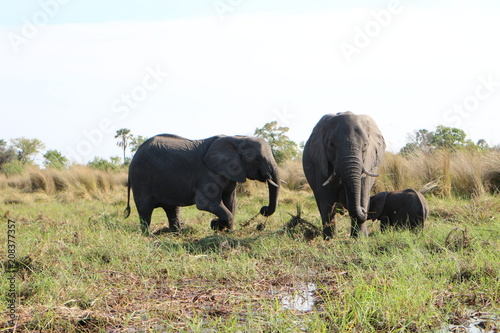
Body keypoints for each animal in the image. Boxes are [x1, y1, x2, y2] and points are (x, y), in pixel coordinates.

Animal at [124, 133, 282, 233]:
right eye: (257, 159)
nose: (263, 210)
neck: (236, 138)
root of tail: (133, 157)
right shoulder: (209, 173)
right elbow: (205, 202)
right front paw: (220, 226)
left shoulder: (230, 172)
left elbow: (231, 202)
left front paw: (224, 229)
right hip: (141, 175)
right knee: (145, 208)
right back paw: (148, 235)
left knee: (172, 209)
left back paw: (176, 232)